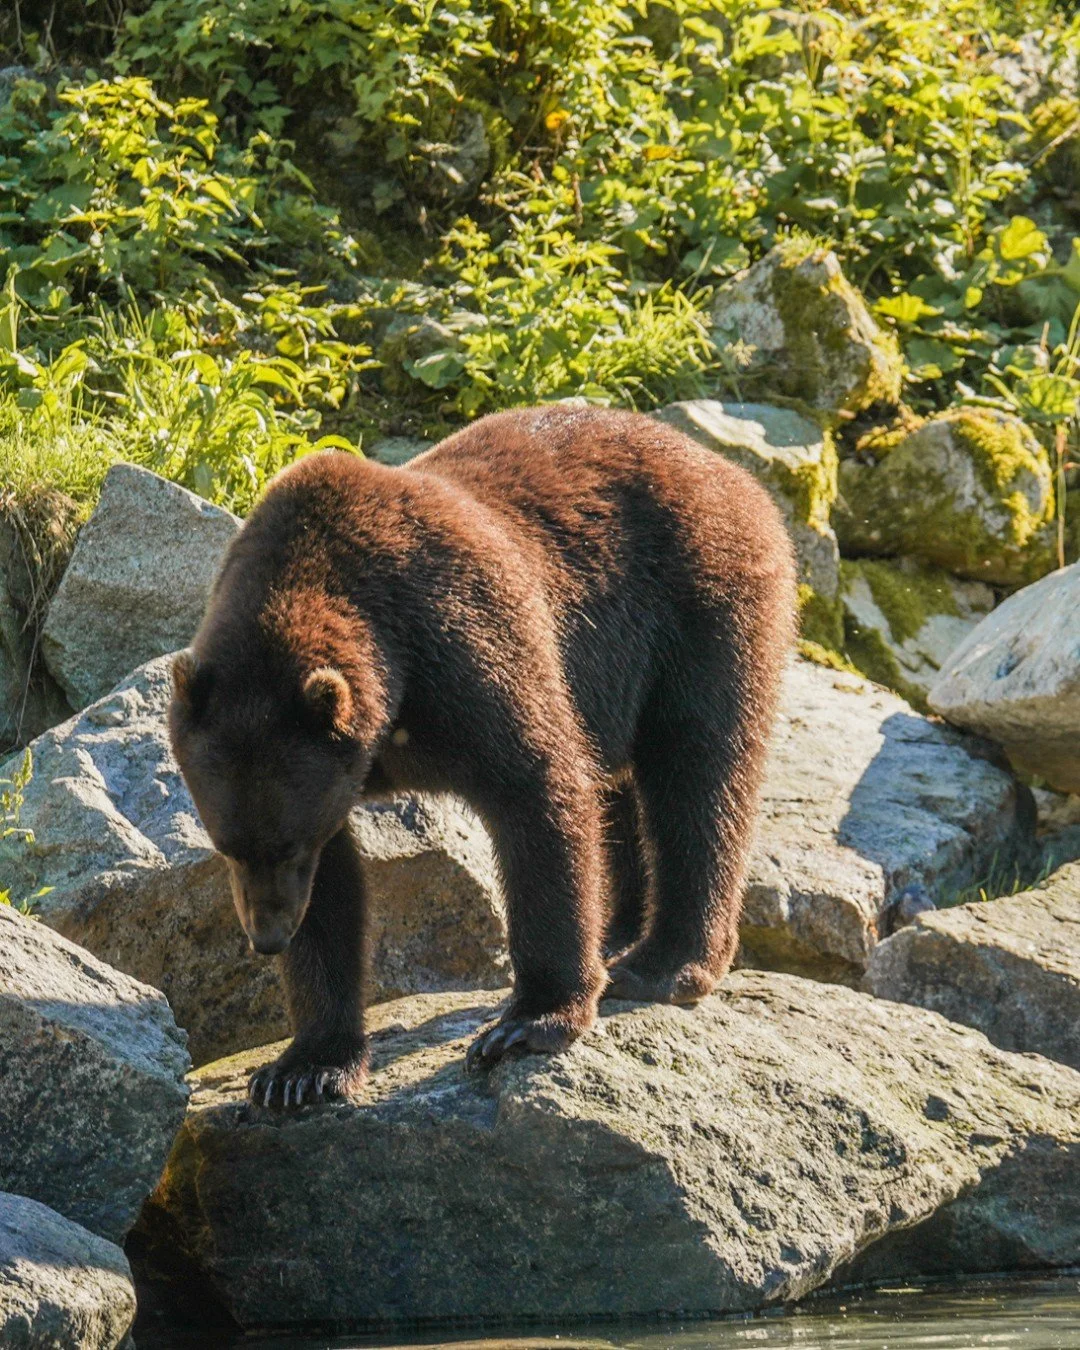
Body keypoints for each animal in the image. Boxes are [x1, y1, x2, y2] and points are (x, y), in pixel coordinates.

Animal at [168, 405, 796, 1108]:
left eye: (285, 846)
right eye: (228, 846)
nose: (267, 937)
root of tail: (734, 474)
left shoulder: (460, 644)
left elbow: (538, 789)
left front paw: (528, 1022)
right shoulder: (330, 768)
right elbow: (334, 894)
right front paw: (303, 1068)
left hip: (698, 609)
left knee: (696, 776)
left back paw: (664, 963)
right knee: (626, 792)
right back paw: (617, 931)